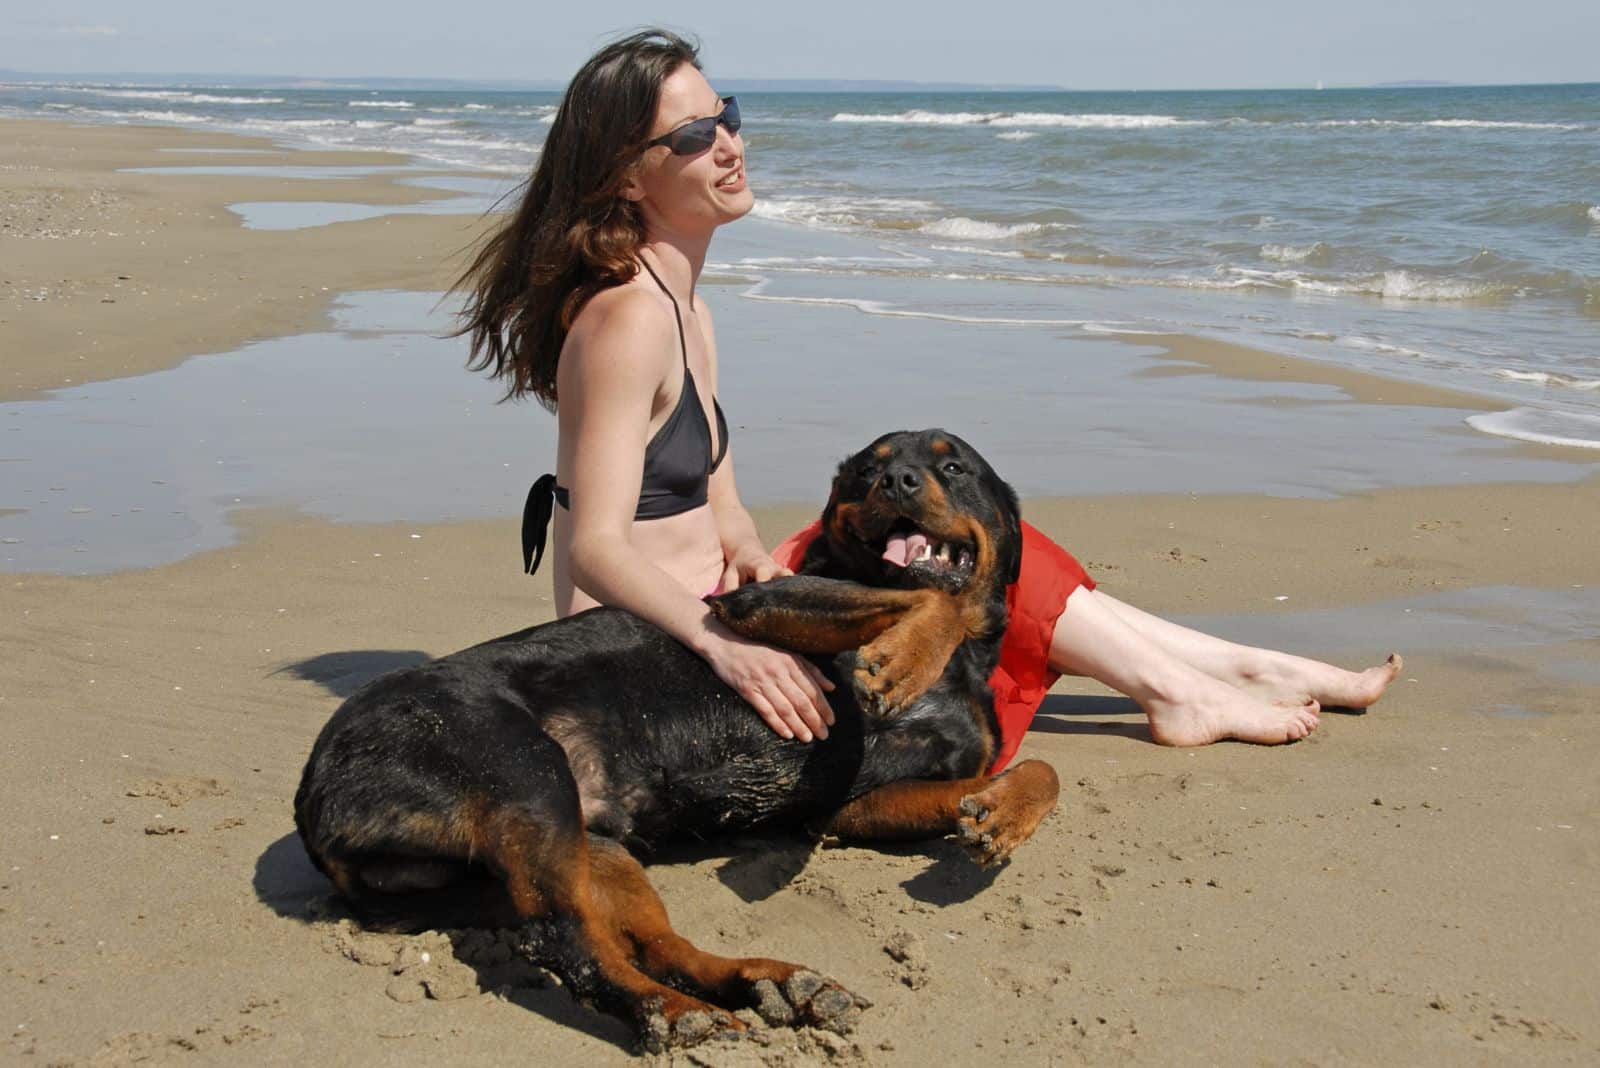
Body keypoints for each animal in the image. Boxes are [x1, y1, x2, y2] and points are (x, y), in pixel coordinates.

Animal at [294, 428, 1062, 1048]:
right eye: (866, 472)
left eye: (953, 466)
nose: (896, 481)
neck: (967, 657)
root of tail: (312, 797)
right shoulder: (757, 600)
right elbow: (924, 598)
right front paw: (901, 658)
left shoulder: (856, 805)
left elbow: (1035, 771)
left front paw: (1003, 814)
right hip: (527, 776)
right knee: (564, 938)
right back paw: (667, 1012)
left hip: (588, 846)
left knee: (657, 943)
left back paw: (771, 984)